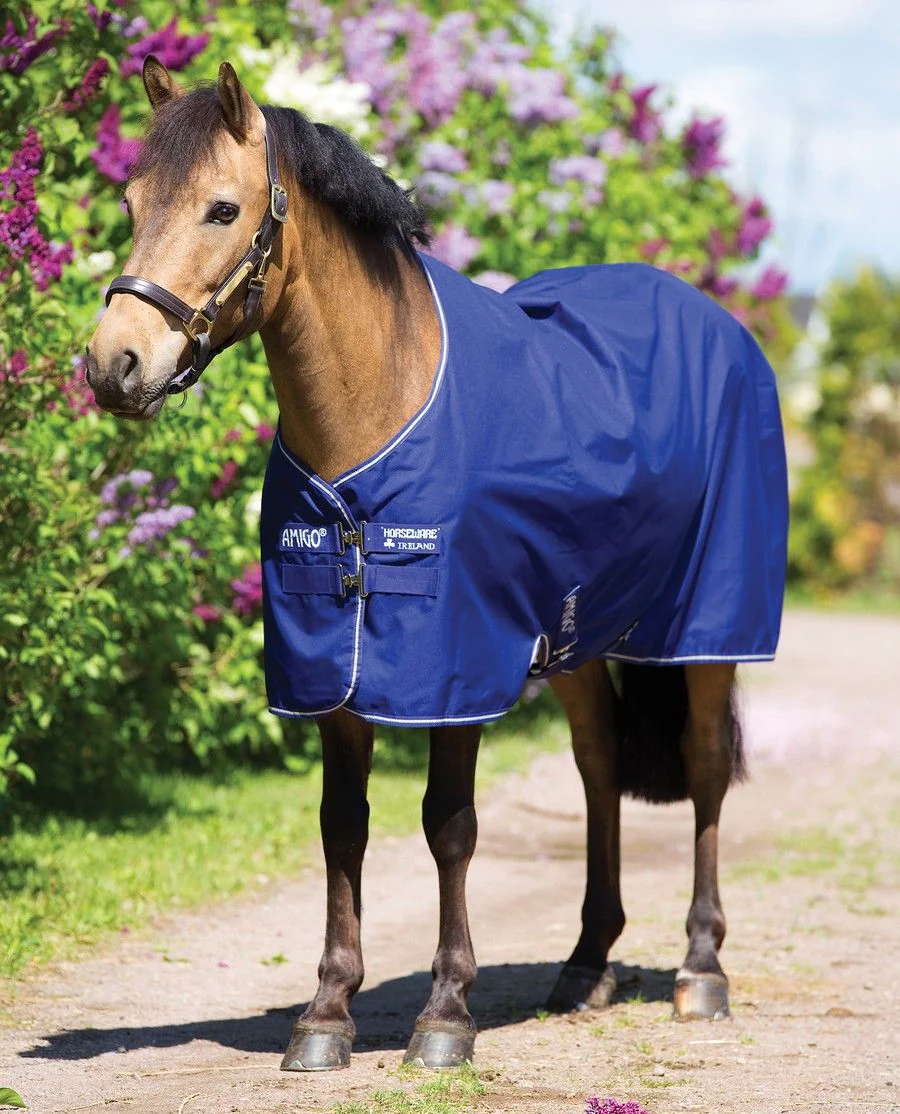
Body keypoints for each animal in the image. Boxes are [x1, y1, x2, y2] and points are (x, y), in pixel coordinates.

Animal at [86, 57, 788, 1072]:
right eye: (131, 203)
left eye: (221, 209)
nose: (115, 363)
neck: (379, 408)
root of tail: (720, 326)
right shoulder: (332, 667)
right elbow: (343, 826)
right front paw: (325, 1013)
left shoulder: (454, 665)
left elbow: (448, 826)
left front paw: (446, 1013)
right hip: (572, 639)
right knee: (599, 765)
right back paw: (586, 964)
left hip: (706, 632)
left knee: (699, 769)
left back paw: (701, 969)